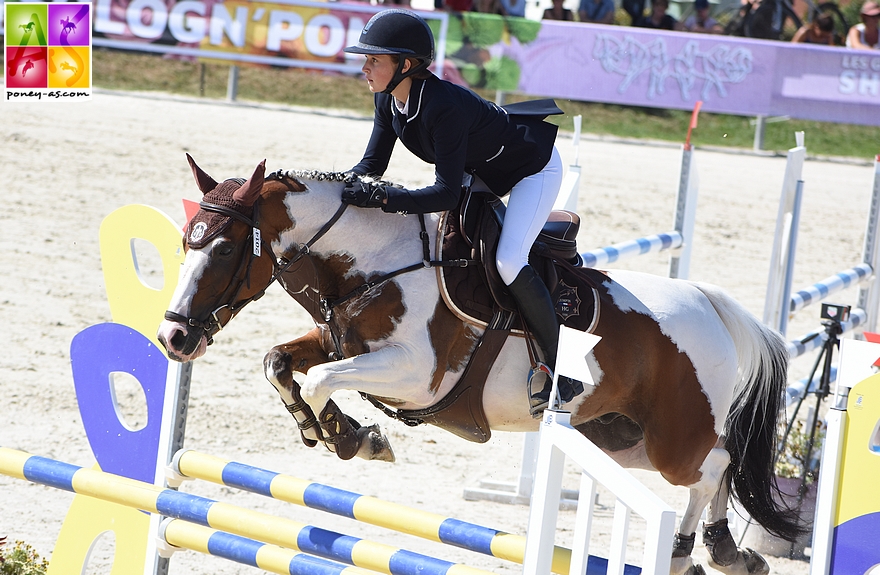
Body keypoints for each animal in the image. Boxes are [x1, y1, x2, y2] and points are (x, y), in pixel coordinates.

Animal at [158, 158, 804, 575]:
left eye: (224, 248)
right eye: (187, 242)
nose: (173, 337)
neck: (376, 260)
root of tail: (713, 304)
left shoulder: (416, 375)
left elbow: (317, 380)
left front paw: (352, 436)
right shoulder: (339, 342)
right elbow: (279, 364)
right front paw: (338, 433)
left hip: (673, 439)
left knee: (713, 465)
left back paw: (691, 549)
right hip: (619, 438)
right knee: (714, 467)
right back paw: (725, 553)